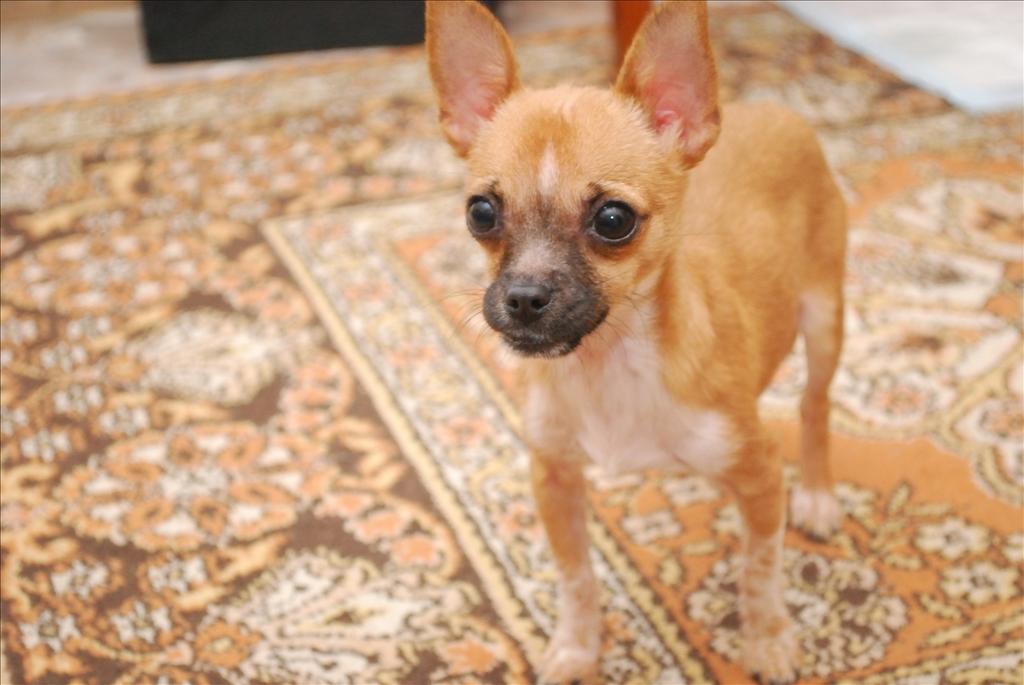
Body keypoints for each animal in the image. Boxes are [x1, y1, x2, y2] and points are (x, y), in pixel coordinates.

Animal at [425, 1, 847, 682]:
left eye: (613, 220)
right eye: (480, 212)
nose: (522, 297)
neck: (609, 364)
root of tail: (771, 108)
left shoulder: (761, 474)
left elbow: (760, 569)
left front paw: (767, 640)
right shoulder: (554, 478)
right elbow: (576, 578)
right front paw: (576, 648)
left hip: (826, 321)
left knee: (815, 405)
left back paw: (816, 495)